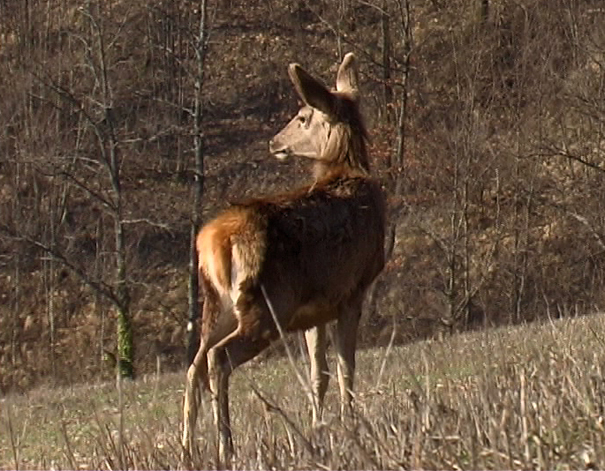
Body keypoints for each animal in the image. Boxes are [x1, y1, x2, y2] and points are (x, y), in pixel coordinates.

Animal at [182, 52, 384, 464]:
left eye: (302, 117)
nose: (274, 140)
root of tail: (213, 240)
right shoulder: (352, 291)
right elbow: (346, 367)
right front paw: (352, 425)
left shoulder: (315, 310)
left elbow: (318, 374)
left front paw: (319, 428)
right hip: (267, 304)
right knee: (218, 359)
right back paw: (225, 447)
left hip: (218, 305)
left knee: (195, 366)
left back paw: (188, 451)